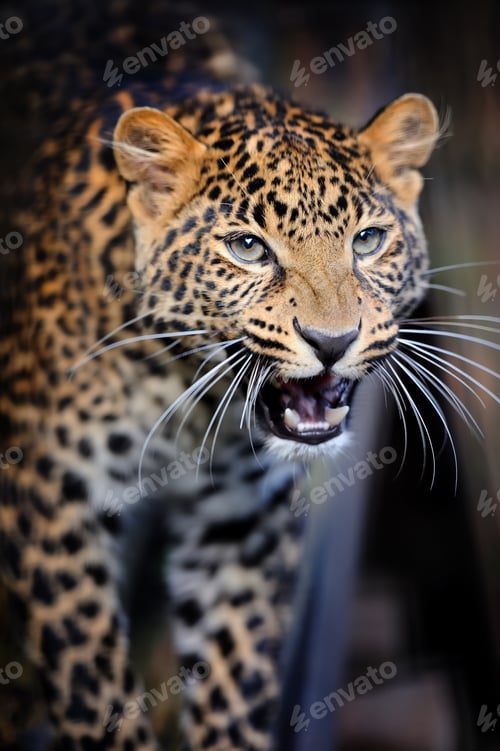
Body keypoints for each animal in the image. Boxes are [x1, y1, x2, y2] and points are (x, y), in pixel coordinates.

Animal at [0, 4, 439, 750]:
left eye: (368, 241)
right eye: (247, 248)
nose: (332, 342)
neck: (188, 398)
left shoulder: (243, 520)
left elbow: (236, 683)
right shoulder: (48, 497)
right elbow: (94, 687)